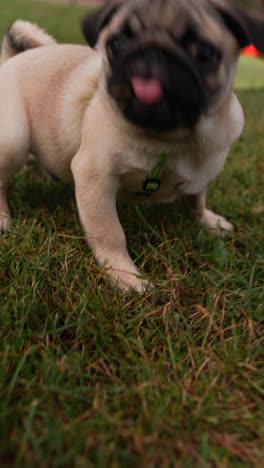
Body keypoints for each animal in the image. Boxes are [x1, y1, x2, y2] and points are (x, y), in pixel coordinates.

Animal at [1, 1, 264, 290]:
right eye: (115, 45)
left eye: (203, 52)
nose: (151, 52)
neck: (168, 140)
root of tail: (12, 59)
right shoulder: (95, 177)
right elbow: (109, 232)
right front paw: (125, 275)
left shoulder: (203, 168)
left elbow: (197, 197)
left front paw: (207, 221)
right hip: (13, 138)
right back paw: (3, 218)